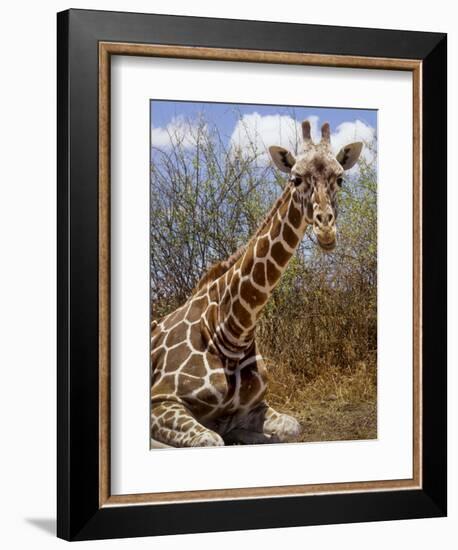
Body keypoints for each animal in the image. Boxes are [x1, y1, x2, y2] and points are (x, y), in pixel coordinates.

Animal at [152, 121, 364, 448]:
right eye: (295, 179)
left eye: (339, 179)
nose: (326, 229)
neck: (230, 329)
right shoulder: (161, 399)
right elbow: (210, 440)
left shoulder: (255, 406)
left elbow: (291, 427)